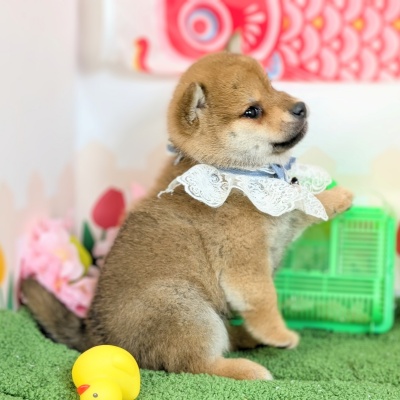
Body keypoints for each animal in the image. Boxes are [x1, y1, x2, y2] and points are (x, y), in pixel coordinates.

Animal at [21, 51, 353, 381]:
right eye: (252, 111)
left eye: (273, 87)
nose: (300, 107)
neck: (236, 174)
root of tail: (96, 336)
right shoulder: (244, 261)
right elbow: (263, 300)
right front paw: (279, 335)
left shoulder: (282, 214)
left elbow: (305, 201)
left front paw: (339, 196)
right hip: (187, 307)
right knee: (197, 363)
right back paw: (248, 368)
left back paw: (246, 338)